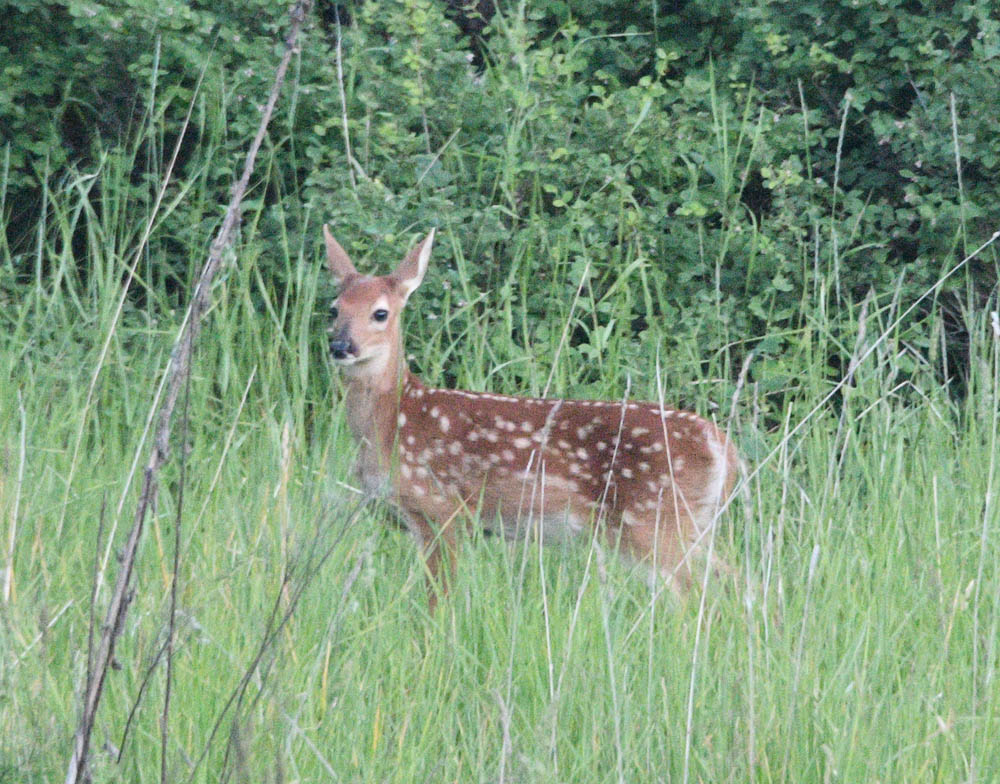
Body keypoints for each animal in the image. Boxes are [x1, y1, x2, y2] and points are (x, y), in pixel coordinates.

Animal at [323, 225, 740, 610]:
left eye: (380, 313)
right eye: (334, 309)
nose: (341, 345)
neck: (391, 421)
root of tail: (722, 446)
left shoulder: (442, 509)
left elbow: (438, 602)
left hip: (654, 520)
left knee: (697, 596)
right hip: (689, 525)